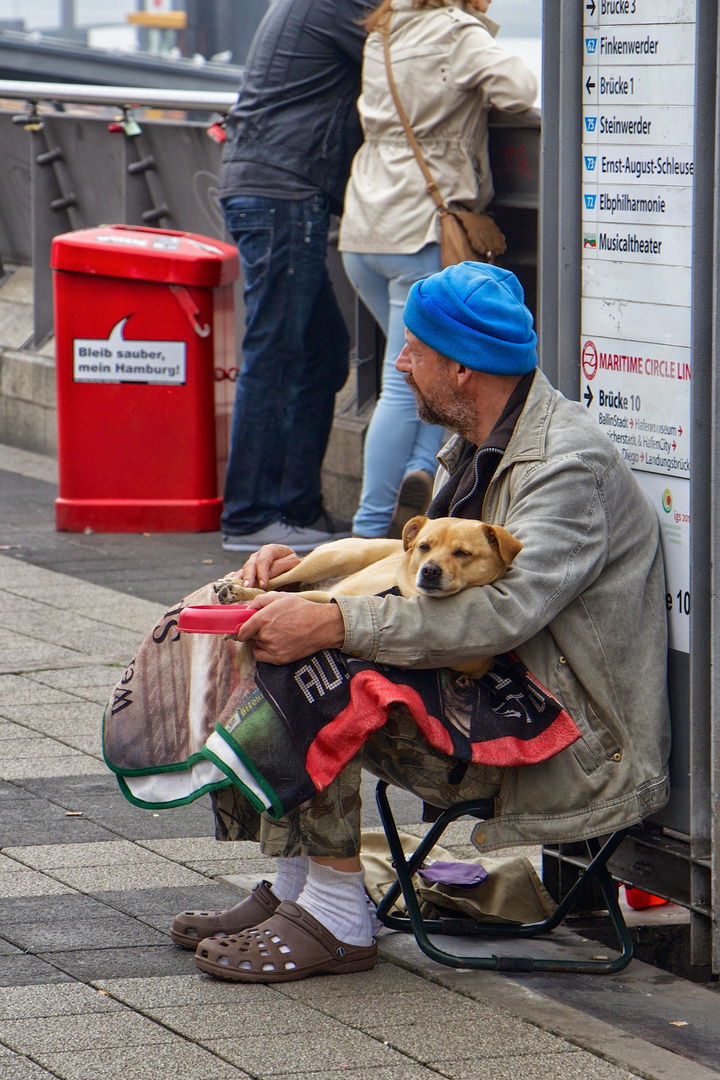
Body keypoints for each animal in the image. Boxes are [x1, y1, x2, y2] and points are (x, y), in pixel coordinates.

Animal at [216, 511, 520, 673]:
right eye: (424, 547)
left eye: (462, 553)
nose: (430, 570)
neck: (405, 592)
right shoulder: (331, 595)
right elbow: (272, 595)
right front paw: (241, 598)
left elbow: (286, 600)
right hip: (332, 559)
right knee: (274, 581)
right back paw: (233, 588)